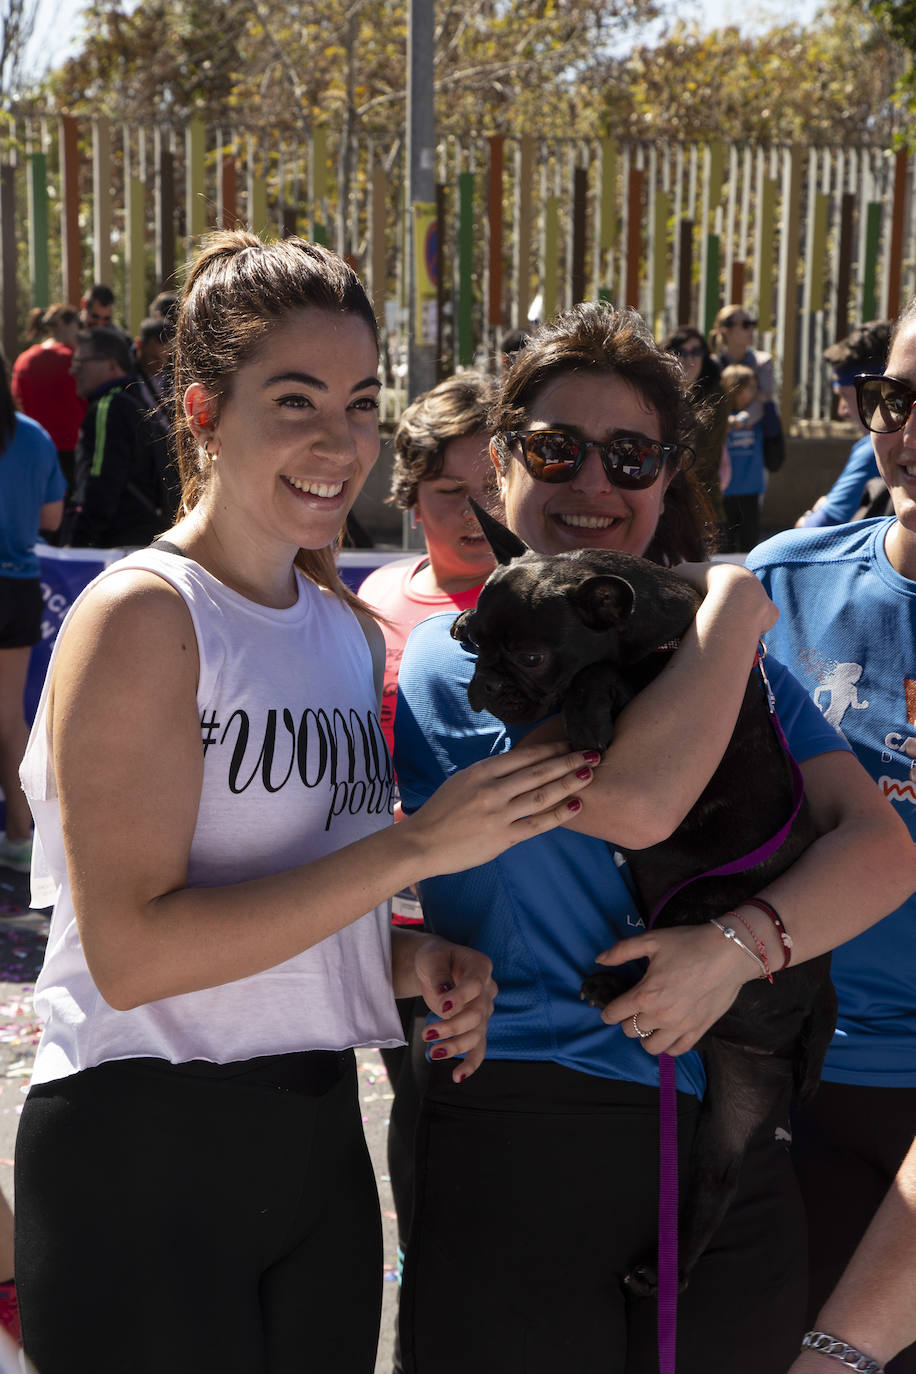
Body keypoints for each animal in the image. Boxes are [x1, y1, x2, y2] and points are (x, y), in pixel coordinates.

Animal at [453, 502, 840, 1286]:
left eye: (531, 657)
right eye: (471, 639)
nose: (484, 685)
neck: (643, 622)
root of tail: (819, 998)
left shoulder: (652, 680)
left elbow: (600, 675)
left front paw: (585, 713)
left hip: (702, 906)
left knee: (666, 945)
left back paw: (609, 983)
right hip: (736, 1096)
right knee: (717, 1179)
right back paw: (668, 1273)